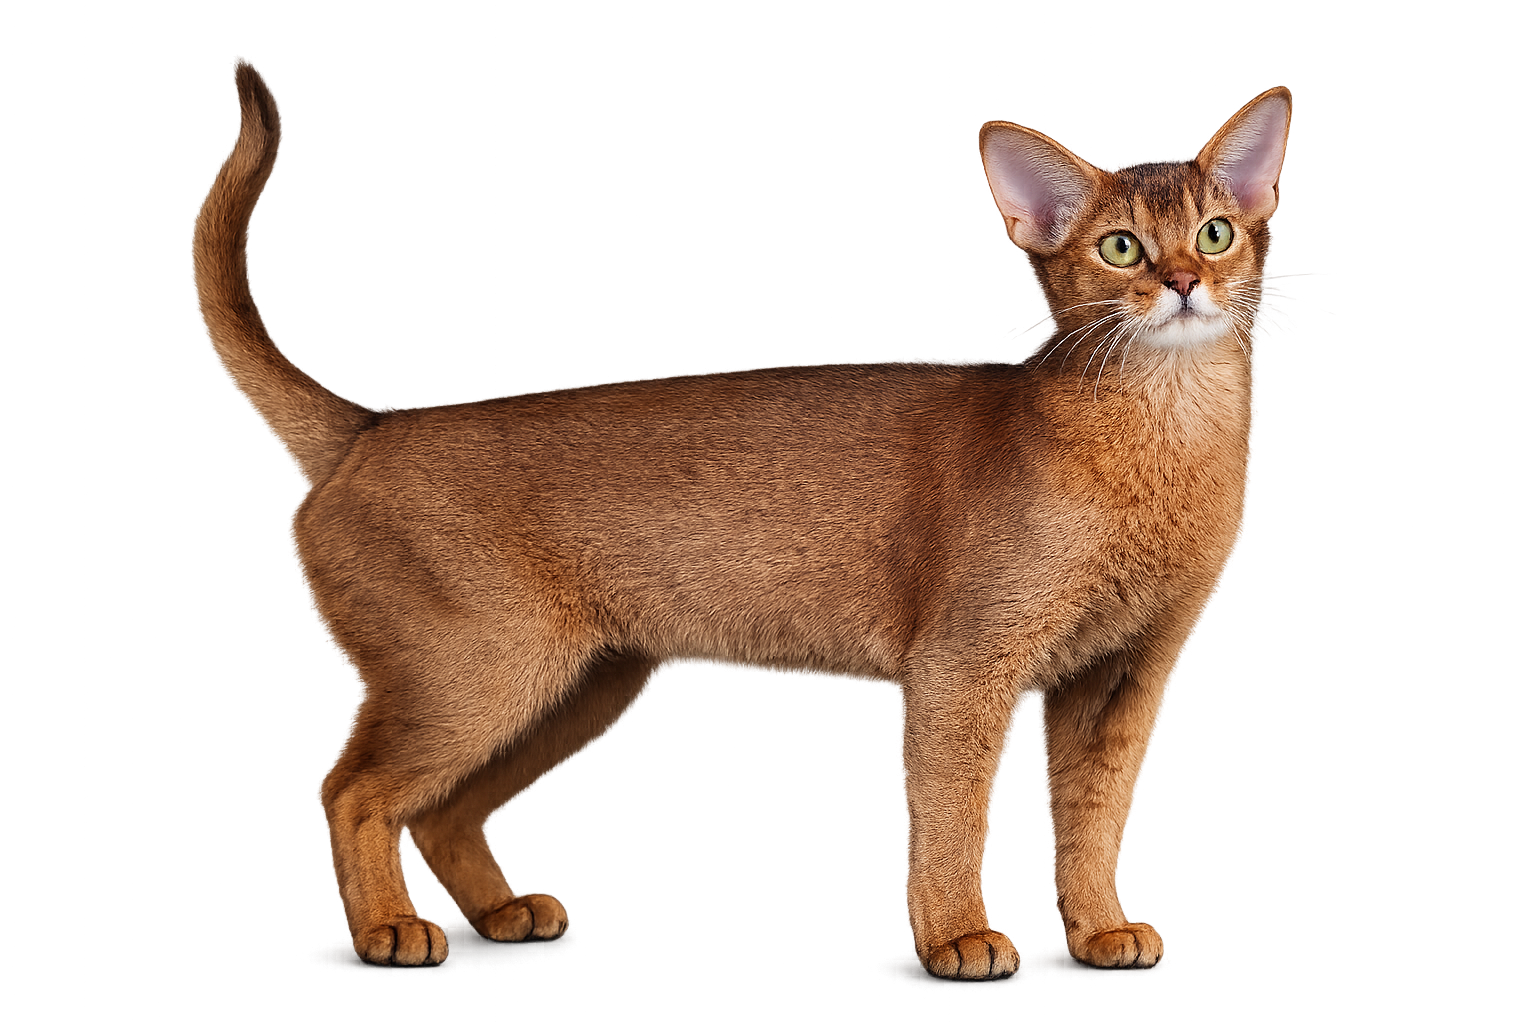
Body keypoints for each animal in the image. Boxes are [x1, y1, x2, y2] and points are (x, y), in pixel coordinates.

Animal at [196, 67, 1289, 979]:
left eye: (1216, 232)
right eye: (1120, 247)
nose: (1183, 283)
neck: (1165, 431)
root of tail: (368, 427)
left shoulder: (1122, 674)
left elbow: (1093, 818)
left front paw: (1099, 928)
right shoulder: (964, 662)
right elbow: (952, 813)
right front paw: (958, 935)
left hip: (577, 682)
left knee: (440, 808)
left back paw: (502, 911)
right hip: (478, 671)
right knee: (353, 791)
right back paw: (386, 927)